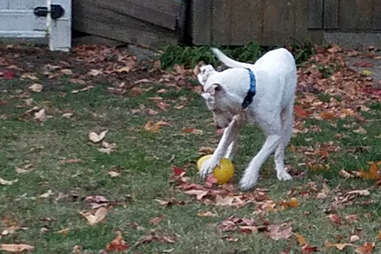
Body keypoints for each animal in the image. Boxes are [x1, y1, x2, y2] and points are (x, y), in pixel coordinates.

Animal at [197, 48, 296, 190]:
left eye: (215, 109)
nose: (217, 126)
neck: (251, 90)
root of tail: (282, 49)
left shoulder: (275, 135)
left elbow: (259, 157)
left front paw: (249, 178)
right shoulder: (234, 123)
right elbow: (221, 145)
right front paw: (211, 163)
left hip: (287, 119)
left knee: (279, 151)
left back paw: (281, 172)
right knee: (232, 143)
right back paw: (228, 158)